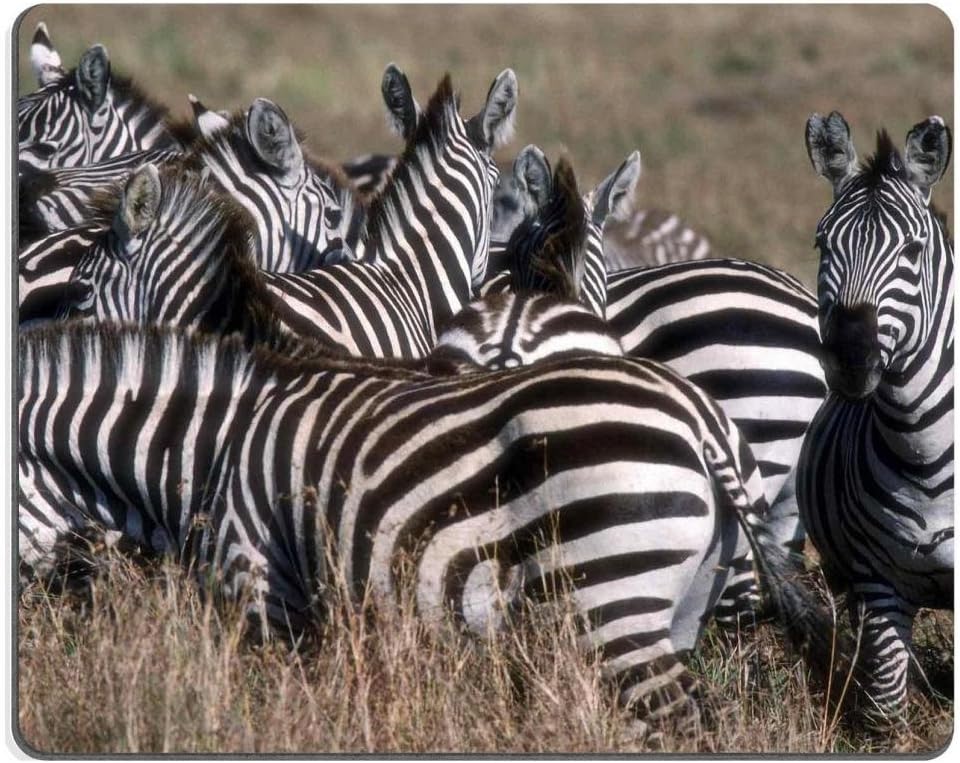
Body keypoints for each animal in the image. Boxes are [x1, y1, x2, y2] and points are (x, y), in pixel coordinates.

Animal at [18, 318, 834, 722]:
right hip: (678, 602)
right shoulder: (323, 614)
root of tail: (699, 418)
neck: (206, 450)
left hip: (612, 599)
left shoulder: (259, 585)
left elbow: (270, 703)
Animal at [799, 112, 953, 719]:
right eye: (822, 244)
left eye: (912, 250)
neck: (924, 453)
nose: (849, 357)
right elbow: (885, 706)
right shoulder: (877, 581)